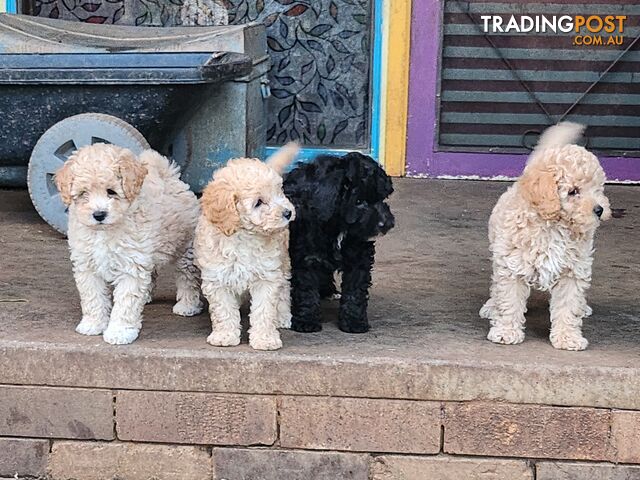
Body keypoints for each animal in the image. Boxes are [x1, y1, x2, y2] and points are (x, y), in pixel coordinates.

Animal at [57, 143, 204, 344]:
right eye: (83, 194)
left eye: (111, 192)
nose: (99, 214)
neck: (105, 231)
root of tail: (168, 175)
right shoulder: (87, 265)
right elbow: (92, 297)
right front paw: (93, 324)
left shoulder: (131, 266)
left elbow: (126, 303)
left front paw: (119, 332)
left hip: (185, 248)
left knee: (187, 278)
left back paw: (187, 305)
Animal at [194, 144, 298, 350]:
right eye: (258, 202)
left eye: (279, 192)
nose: (288, 212)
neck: (243, 237)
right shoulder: (217, 278)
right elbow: (224, 311)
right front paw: (225, 336)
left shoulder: (267, 276)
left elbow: (264, 310)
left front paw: (265, 339)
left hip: (283, 262)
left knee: (284, 288)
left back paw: (282, 317)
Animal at [284, 152, 396, 332]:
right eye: (358, 202)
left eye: (381, 198)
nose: (387, 223)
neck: (339, 225)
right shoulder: (306, 255)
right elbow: (306, 288)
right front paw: (306, 321)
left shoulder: (360, 255)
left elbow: (355, 289)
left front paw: (354, 322)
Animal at [480, 122, 608, 350]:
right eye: (573, 191)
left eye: (598, 189)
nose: (599, 210)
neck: (555, 226)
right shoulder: (512, 265)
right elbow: (508, 300)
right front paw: (506, 331)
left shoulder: (573, 270)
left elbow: (569, 305)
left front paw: (568, 337)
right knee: (496, 285)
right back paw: (491, 306)